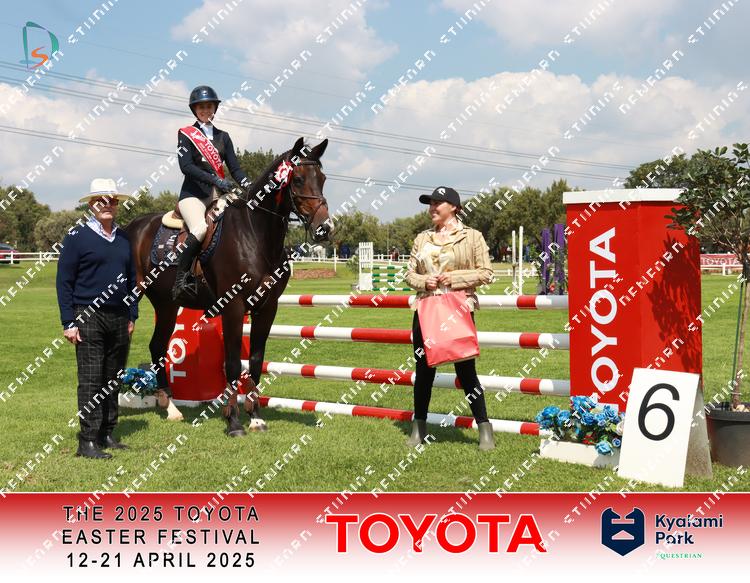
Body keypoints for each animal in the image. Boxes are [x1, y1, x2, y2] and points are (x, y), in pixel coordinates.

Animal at [125, 137, 332, 436]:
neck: (256, 235)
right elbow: (233, 363)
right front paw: (233, 421)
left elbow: (255, 361)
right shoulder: (233, 306)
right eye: (299, 179)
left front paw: (255, 417)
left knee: (157, 346)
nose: (325, 229)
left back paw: (171, 408)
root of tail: (132, 226)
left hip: (166, 304)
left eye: (323, 179)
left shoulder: (267, 308)